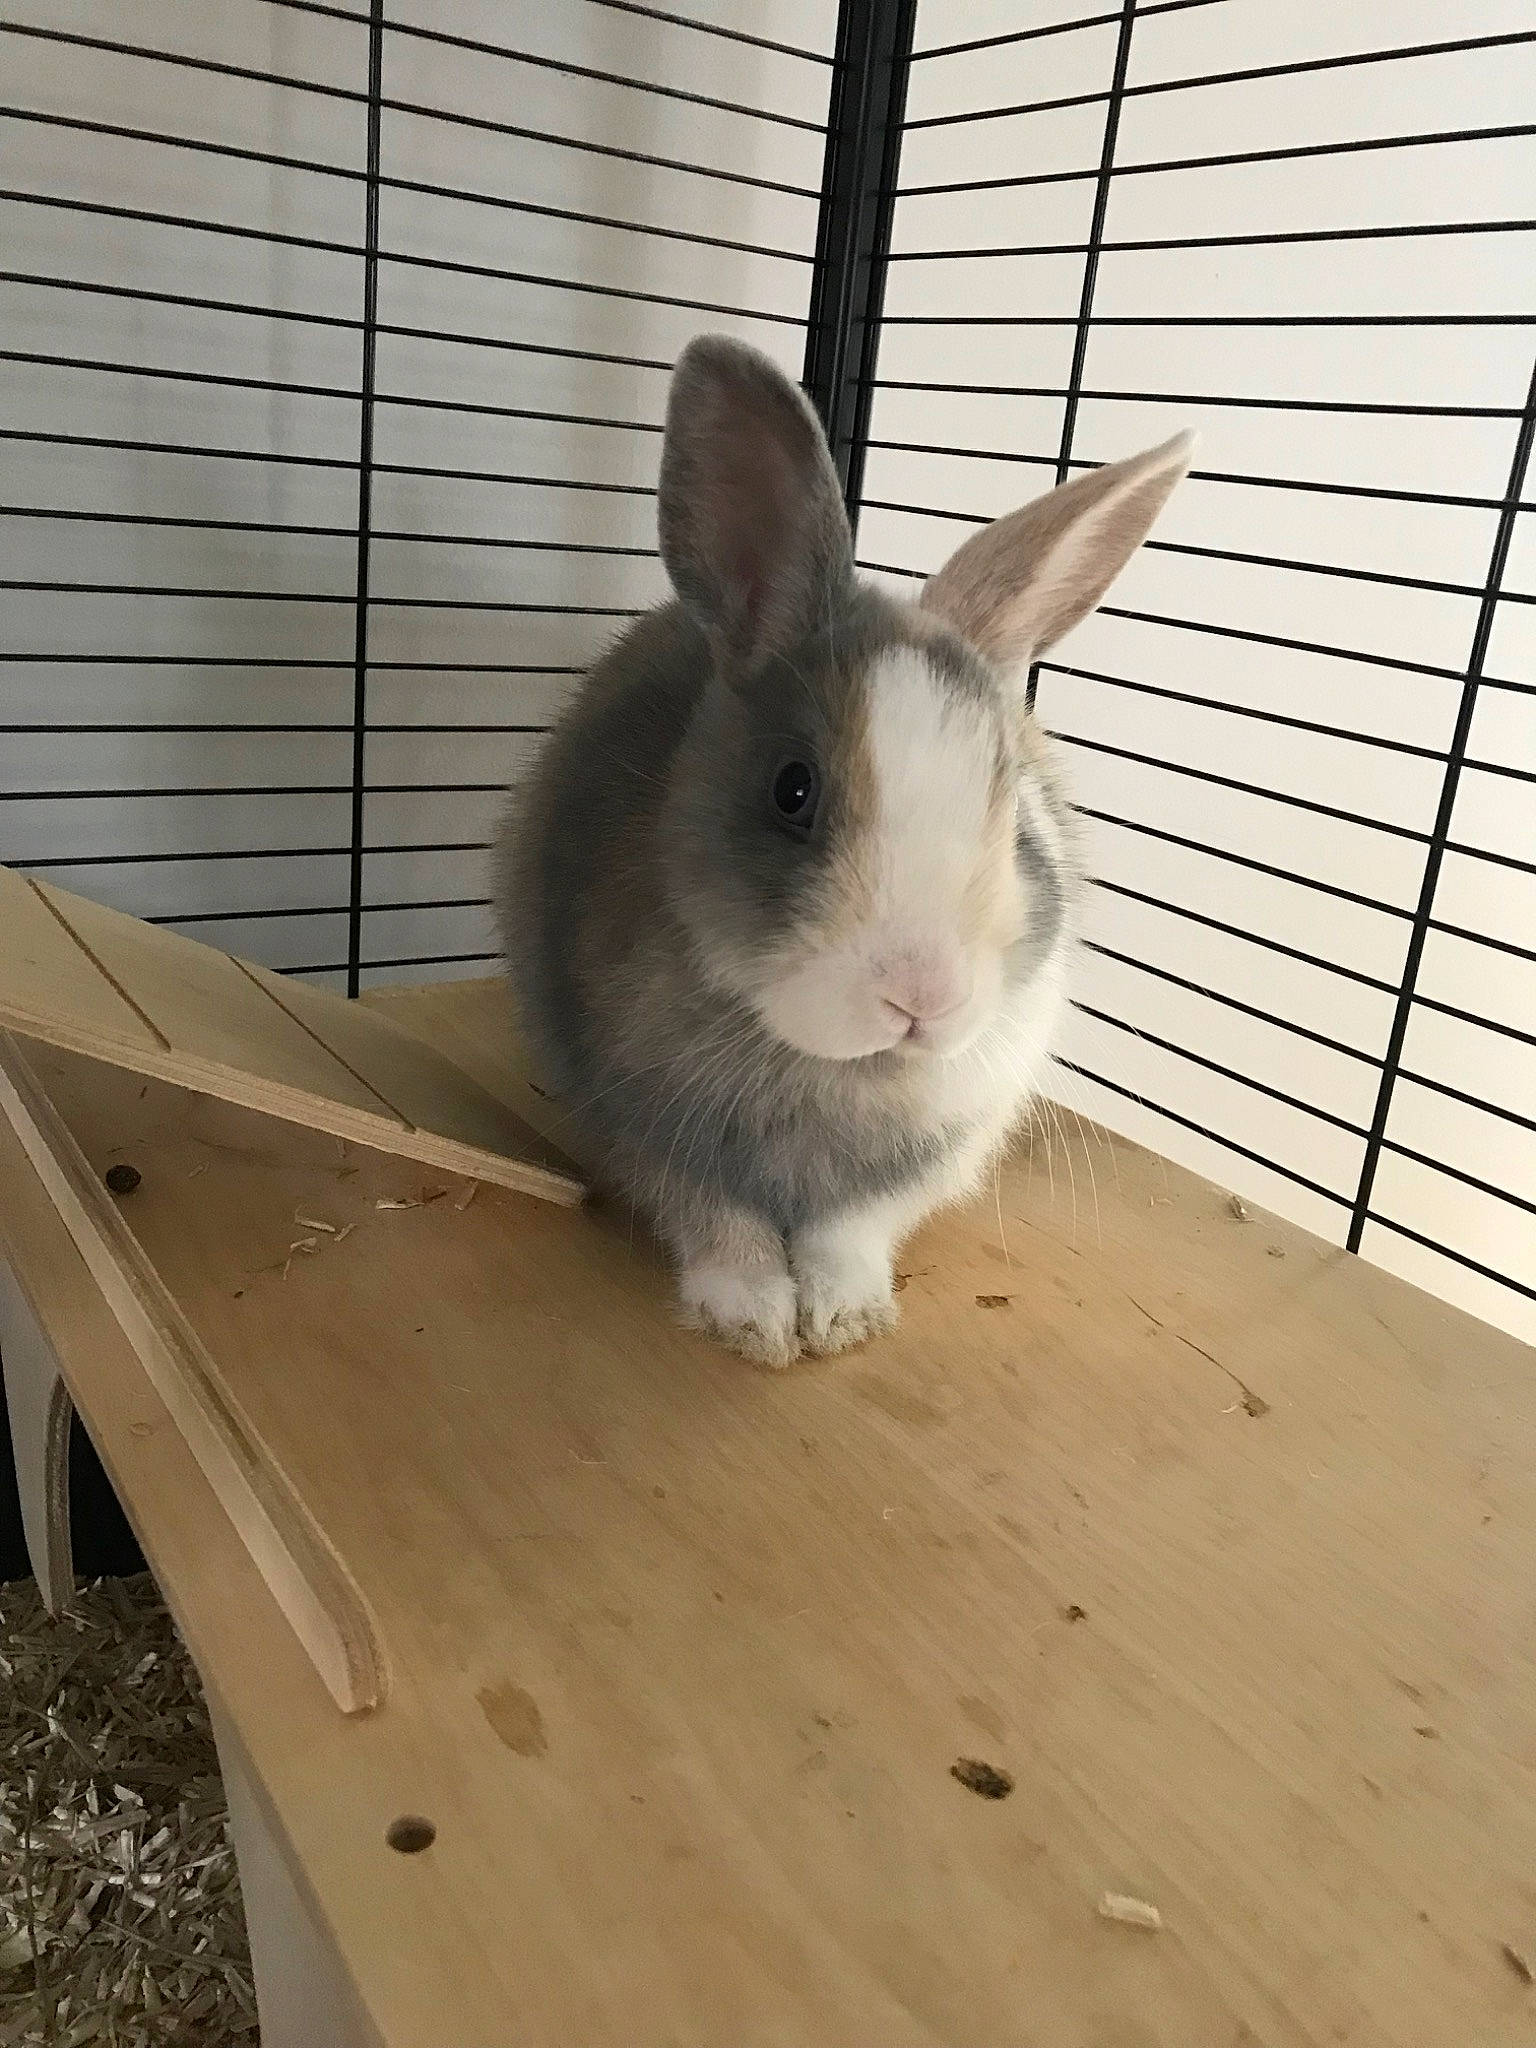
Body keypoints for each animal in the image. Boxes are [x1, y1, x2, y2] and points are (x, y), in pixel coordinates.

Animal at [496, 334, 1192, 1366]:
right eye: (794, 792)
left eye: (1018, 818)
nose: (922, 998)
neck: (836, 1073)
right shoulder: (644, 1117)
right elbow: (717, 1223)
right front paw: (752, 1324)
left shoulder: (927, 1155)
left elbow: (850, 1230)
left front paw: (843, 1319)